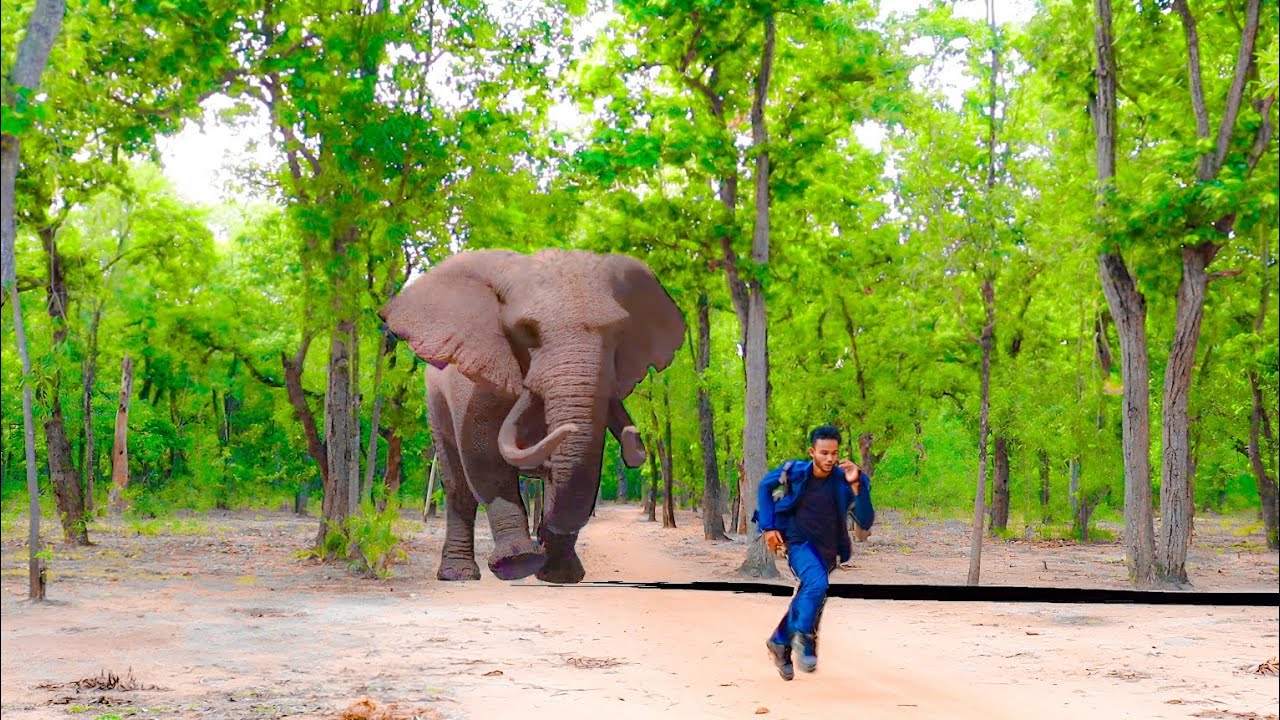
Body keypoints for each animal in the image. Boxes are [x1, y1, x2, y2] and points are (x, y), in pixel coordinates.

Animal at [379, 248, 686, 584]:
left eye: (618, 333)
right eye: (526, 330)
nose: (634, 439)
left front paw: (559, 576)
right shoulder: (475, 379)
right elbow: (484, 458)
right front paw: (518, 563)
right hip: (434, 402)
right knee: (458, 486)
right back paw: (459, 575)